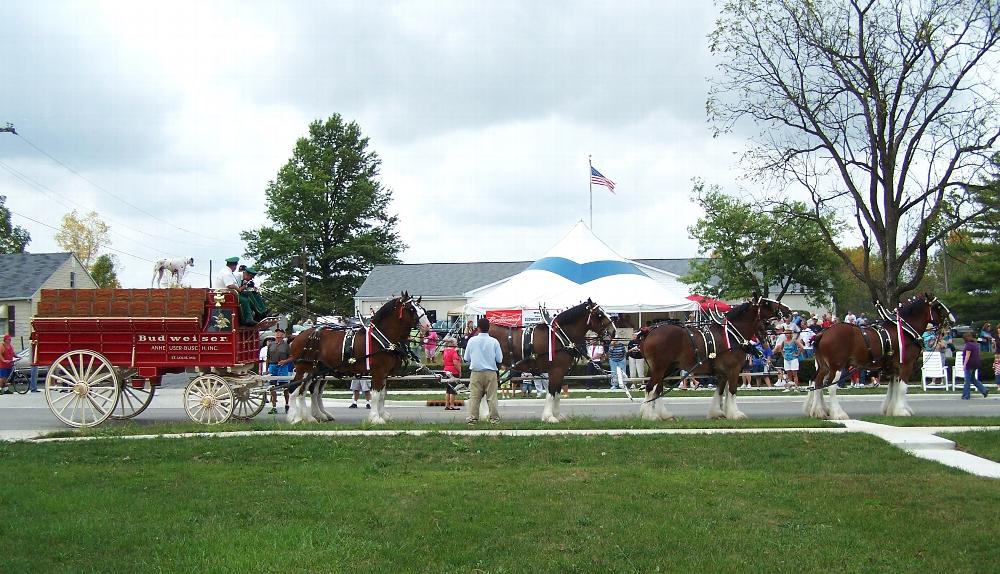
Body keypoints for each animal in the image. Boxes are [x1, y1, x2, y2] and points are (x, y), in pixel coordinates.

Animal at [288, 294, 432, 426]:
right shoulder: (378, 372)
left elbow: (382, 395)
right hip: (303, 368)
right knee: (294, 390)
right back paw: (296, 418)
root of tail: (297, 337)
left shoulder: (385, 374)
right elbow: (376, 395)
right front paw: (375, 418)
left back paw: (312, 417)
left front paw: (383, 415)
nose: (427, 326)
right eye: (411, 309)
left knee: (306, 392)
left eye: (423, 308)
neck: (381, 337)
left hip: (315, 371)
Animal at [486, 300, 616, 426]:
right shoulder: (556, 371)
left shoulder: (561, 372)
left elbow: (557, 394)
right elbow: (551, 393)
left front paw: (558, 415)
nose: (613, 331)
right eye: (599, 314)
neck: (560, 337)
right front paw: (549, 417)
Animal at [636, 300, 792, 420]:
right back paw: (650, 415)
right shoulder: (733, 370)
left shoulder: (723, 373)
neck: (732, 333)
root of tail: (648, 333)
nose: (789, 310)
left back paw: (663, 414)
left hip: (666, 369)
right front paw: (735, 414)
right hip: (660, 368)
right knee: (650, 388)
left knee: (657, 389)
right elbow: (732, 390)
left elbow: (721, 391)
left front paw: (717, 413)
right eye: (767, 303)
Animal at [804, 294, 952, 420]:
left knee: (817, 382)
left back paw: (819, 411)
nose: (952, 320)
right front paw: (902, 411)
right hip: (837, 367)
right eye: (938, 306)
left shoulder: (894, 368)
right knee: (830, 387)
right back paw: (838, 414)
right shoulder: (906, 365)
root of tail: (823, 333)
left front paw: (891, 410)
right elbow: (902, 388)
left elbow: (893, 388)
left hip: (824, 366)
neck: (905, 329)